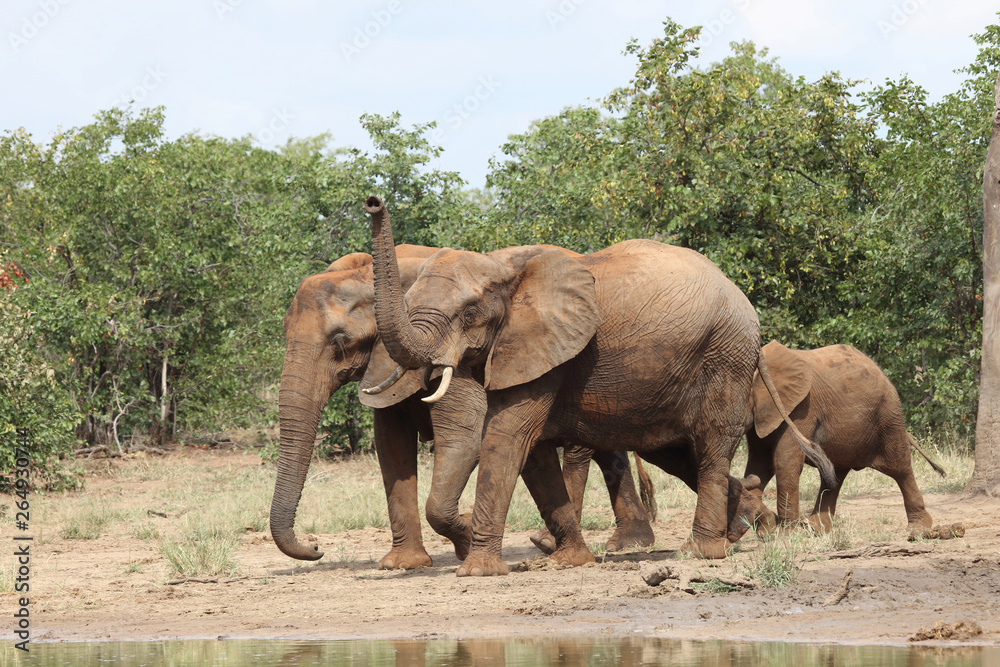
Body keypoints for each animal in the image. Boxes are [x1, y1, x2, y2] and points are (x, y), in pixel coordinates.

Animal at [269, 245, 655, 568]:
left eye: (339, 342)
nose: (316, 547)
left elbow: (465, 440)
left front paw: (467, 538)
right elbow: (391, 445)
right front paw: (404, 564)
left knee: (579, 450)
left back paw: (554, 545)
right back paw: (628, 543)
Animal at [363, 195, 836, 575]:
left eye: (469, 311)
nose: (373, 202)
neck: (506, 264)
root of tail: (745, 304)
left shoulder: (547, 349)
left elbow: (507, 435)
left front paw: (479, 572)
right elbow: (533, 452)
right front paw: (566, 561)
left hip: (725, 356)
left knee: (712, 446)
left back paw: (701, 552)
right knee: (676, 452)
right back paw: (738, 528)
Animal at [743, 341, 946, 534]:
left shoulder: (801, 408)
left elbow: (785, 461)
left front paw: (785, 536)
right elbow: (760, 463)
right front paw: (764, 529)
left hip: (889, 415)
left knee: (900, 468)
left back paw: (918, 528)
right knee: (835, 474)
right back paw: (816, 529)